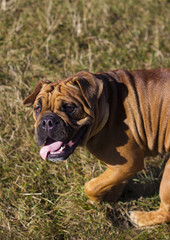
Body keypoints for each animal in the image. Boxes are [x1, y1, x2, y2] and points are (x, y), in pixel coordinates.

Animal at [23, 68, 170, 226]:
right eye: (37, 108)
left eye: (69, 108)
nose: (47, 121)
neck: (108, 103)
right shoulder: (120, 169)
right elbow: (110, 181)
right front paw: (111, 194)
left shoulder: (128, 164)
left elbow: (91, 186)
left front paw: (96, 199)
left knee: (165, 212)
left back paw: (141, 218)